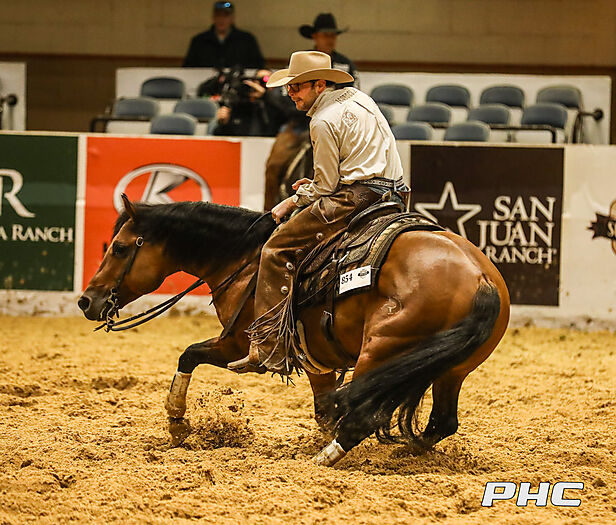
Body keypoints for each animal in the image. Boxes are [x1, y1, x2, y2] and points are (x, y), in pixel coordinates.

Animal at [78, 194, 510, 466]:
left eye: (119, 247)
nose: (86, 300)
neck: (244, 259)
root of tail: (480, 278)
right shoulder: (318, 359)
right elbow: (322, 410)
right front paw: (178, 424)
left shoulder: (240, 346)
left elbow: (189, 354)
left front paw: (177, 420)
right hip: (451, 369)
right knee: (441, 422)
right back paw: (403, 452)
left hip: (382, 349)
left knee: (362, 416)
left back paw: (325, 459)